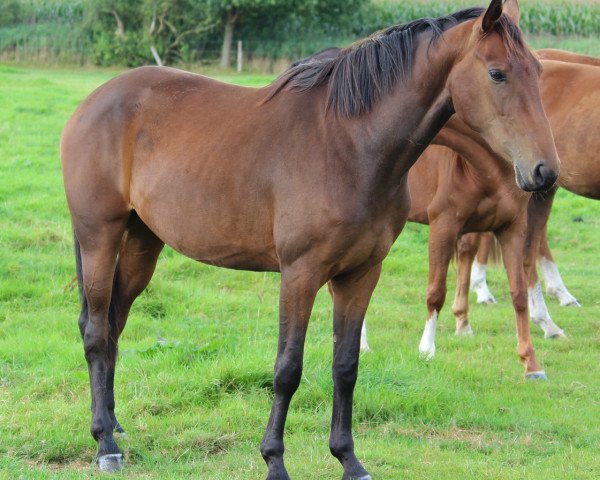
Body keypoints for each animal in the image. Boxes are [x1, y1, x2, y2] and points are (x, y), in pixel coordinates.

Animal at [61, 1, 556, 478]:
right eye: (497, 73)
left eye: (537, 71)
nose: (544, 171)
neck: (349, 145)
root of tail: (94, 101)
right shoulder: (300, 273)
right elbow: (288, 369)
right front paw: (274, 460)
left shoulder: (361, 274)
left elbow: (346, 365)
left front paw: (348, 459)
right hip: (99, 236)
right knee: (96, 330)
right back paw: (105, 444)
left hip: (143, 242)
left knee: (115, 324)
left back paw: (114, 423)